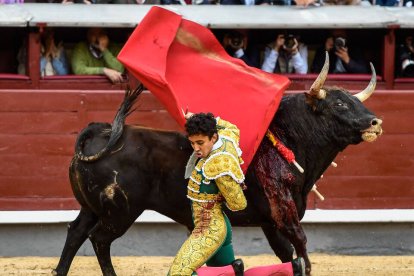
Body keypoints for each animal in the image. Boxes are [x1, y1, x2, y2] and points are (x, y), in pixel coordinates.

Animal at [54, 57, 382, 274]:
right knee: (99, 239)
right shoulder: (285, 216)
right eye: (339, 104)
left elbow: (288, 257)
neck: (286, 140)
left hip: (92, 207)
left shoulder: (271, 223)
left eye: (356, 102)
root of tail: (103, 131)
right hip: (120, 212)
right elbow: (302, 251)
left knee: (76, 232)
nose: (374, 122)